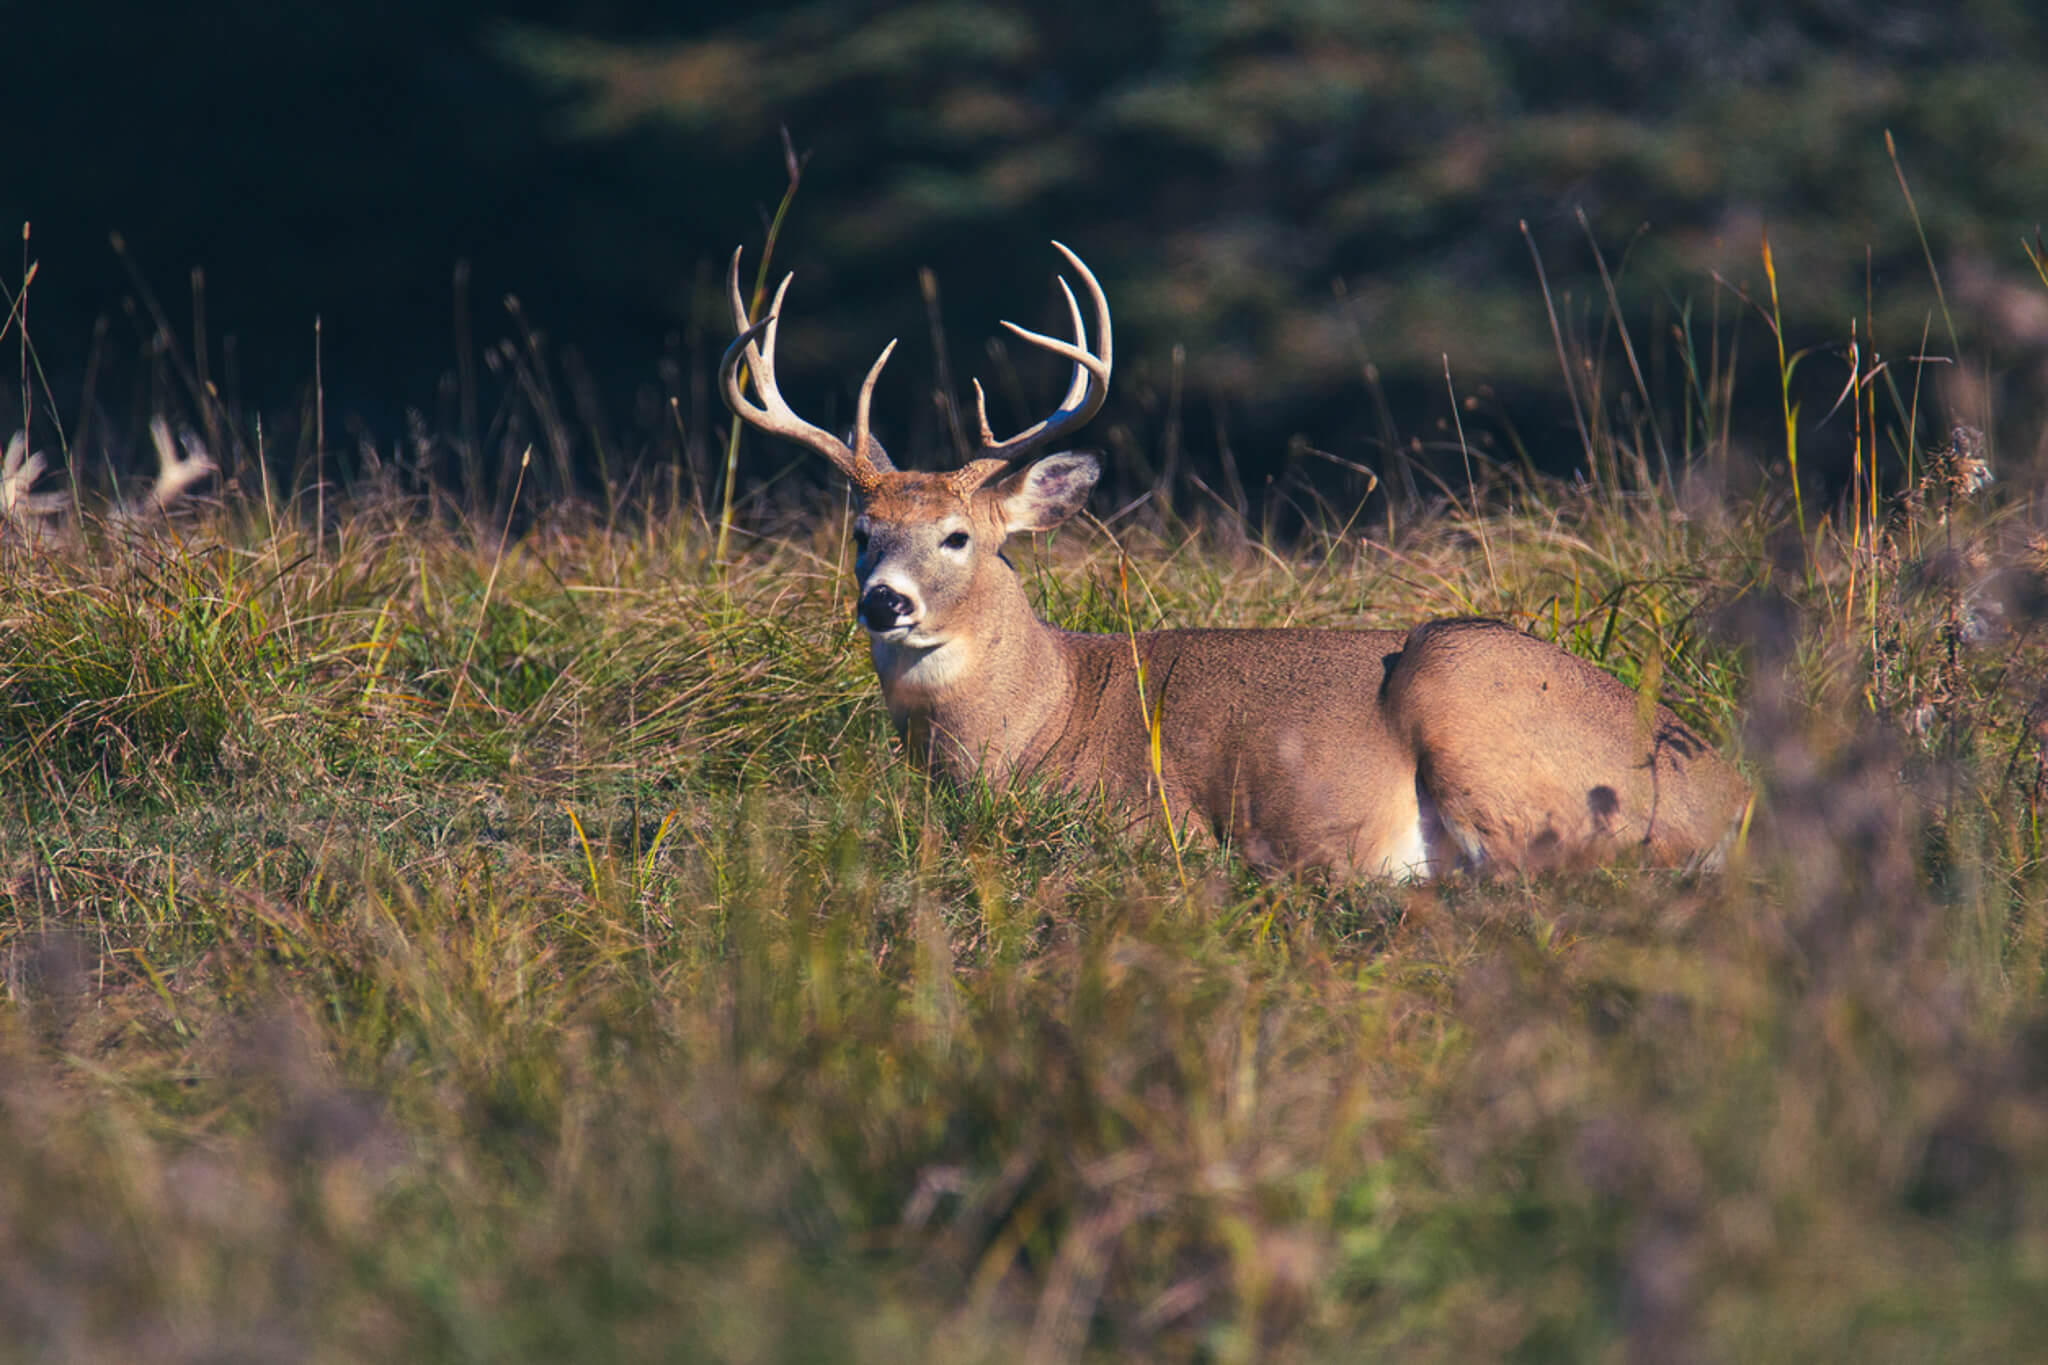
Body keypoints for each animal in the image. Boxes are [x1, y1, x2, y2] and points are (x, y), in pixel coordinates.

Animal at [719, 243, 1749, 877]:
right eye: (860, 532)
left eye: (958, 536)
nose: (884, 603)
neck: (1039, 718)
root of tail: (1729, 796)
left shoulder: (1150, 823)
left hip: (1465, 682)